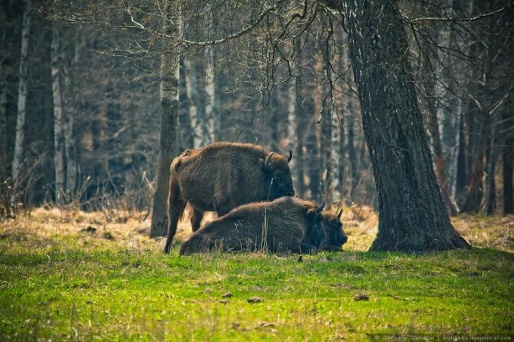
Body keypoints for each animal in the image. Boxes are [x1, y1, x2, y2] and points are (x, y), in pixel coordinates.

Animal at [162, 142, 294, 254]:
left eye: (289, 172)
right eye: (277, 174)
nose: (291, 193)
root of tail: (178, 159)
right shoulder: (223, 207)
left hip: (197, 206)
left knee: (195, 222)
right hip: (175, 196)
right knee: (172, 224)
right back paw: (166, 251)